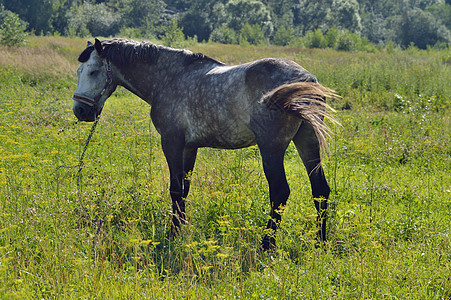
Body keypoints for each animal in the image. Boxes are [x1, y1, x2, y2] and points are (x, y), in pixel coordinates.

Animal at [72, 38, 338, 251]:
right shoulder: (189, 147)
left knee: (280, 193)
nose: (80, 110)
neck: (168, 78)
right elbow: (184, 190)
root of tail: (306, 79)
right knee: (320, 190)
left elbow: (175, 189)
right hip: (307, 141)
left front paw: (172, 235)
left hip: (271, 149)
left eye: (93, 71)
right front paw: (181, 229)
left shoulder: (171, 142)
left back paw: (267, 245)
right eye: (79, 71)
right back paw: (320, 242)